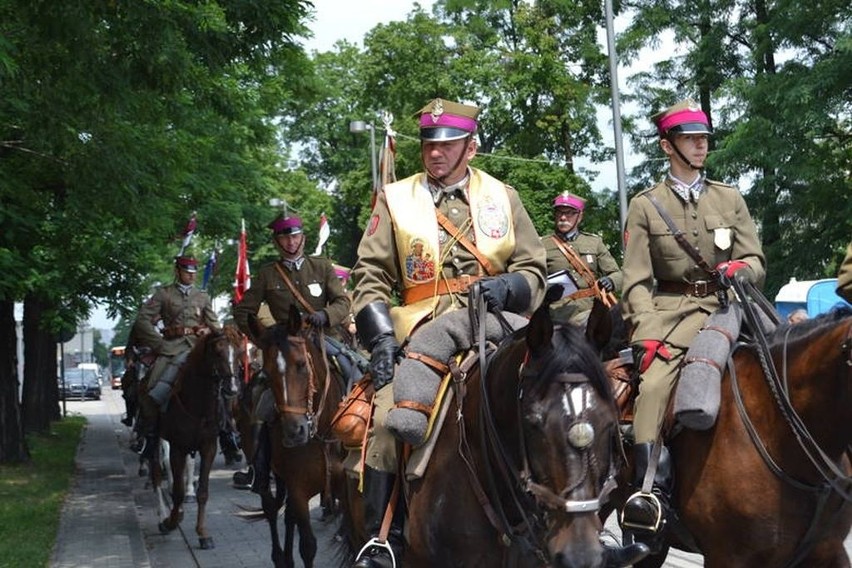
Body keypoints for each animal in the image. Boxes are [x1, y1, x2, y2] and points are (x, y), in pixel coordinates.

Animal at [149, 330, 236, 548]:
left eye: (236, 352)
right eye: (217, 352)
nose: (232, 388)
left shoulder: (208, 447)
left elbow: (202, 491)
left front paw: (203, 533)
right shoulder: (177, 446)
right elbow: (177, 490)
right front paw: (171, 520)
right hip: (154, 437)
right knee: (156, 473)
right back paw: (162, 514)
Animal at [243, 306, 346, 568]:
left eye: (301, 364)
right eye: (267, 374)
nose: (294, 431)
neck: (323, 433)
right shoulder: (298, 490)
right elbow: (308, 546)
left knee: (287, 515)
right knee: (272, 509)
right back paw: (280, 557)